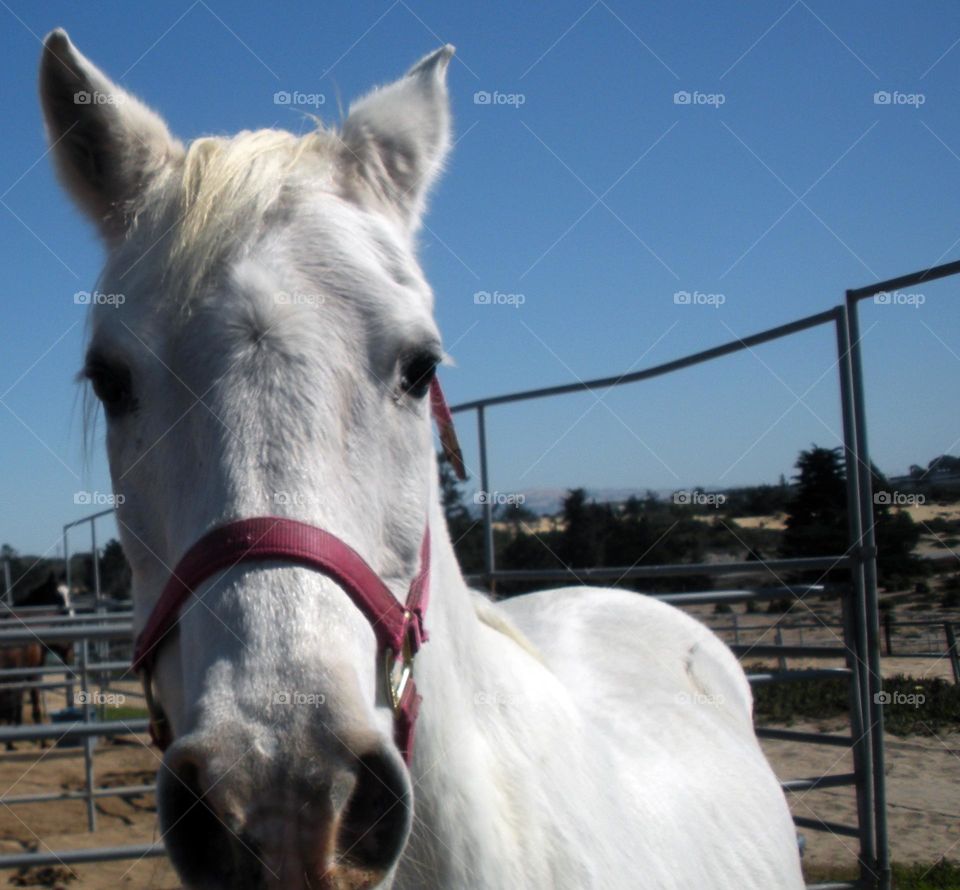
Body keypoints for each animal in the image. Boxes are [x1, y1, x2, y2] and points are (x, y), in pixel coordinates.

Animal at [0, 572, 73, 744]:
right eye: (57, 594)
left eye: (69, 593)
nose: (70, 614)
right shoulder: (32, 674)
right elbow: (34, 702)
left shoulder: (20, 676)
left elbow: (19, 704)